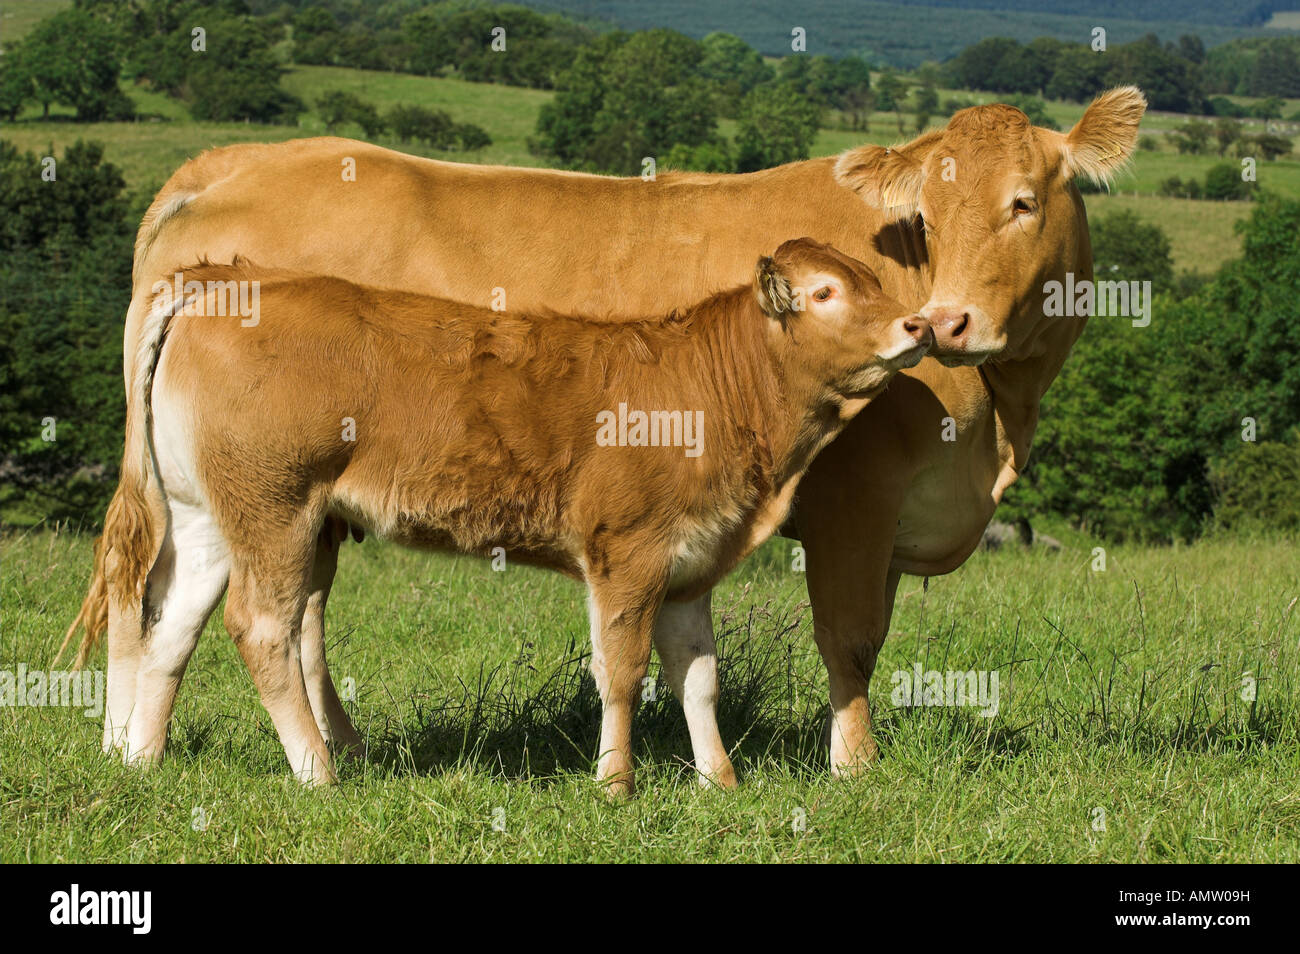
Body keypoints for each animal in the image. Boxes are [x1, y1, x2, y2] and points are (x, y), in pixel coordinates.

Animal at [106, 241, 929, 789]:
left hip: (209, 516)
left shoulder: (691, 562)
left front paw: (719, 782)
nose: (917, 326)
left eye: (874, 280)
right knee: (262, 626)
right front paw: (616, 783)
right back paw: (317, 771)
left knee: (172, 626)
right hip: (275, 508)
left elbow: (698, 677)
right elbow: (622, 672)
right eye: (825, 293)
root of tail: (225, 279)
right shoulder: (627, 551)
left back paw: (144, 759)